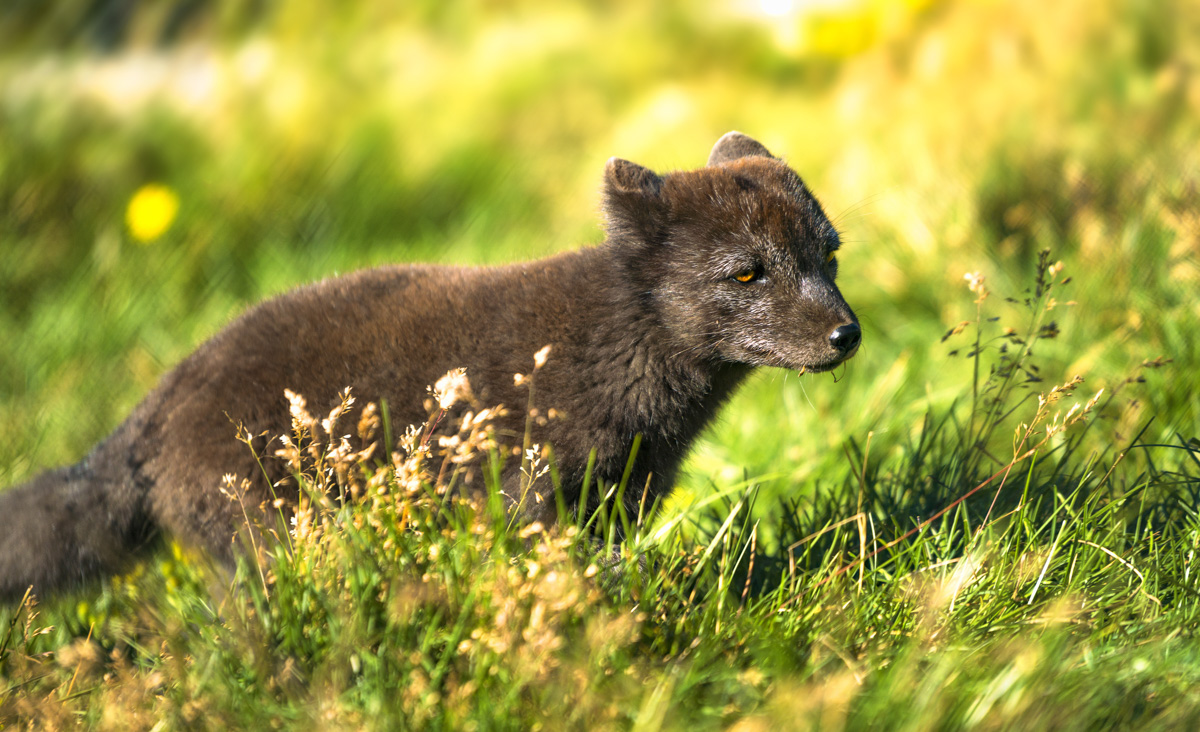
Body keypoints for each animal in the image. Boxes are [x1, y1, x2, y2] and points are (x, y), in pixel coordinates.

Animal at [0, 132, 860, 600]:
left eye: (829, 253)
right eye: (746, 274)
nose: (847, 335)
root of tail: (149, 410)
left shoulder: (622, 497)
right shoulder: (520, 495)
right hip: (273, 533)